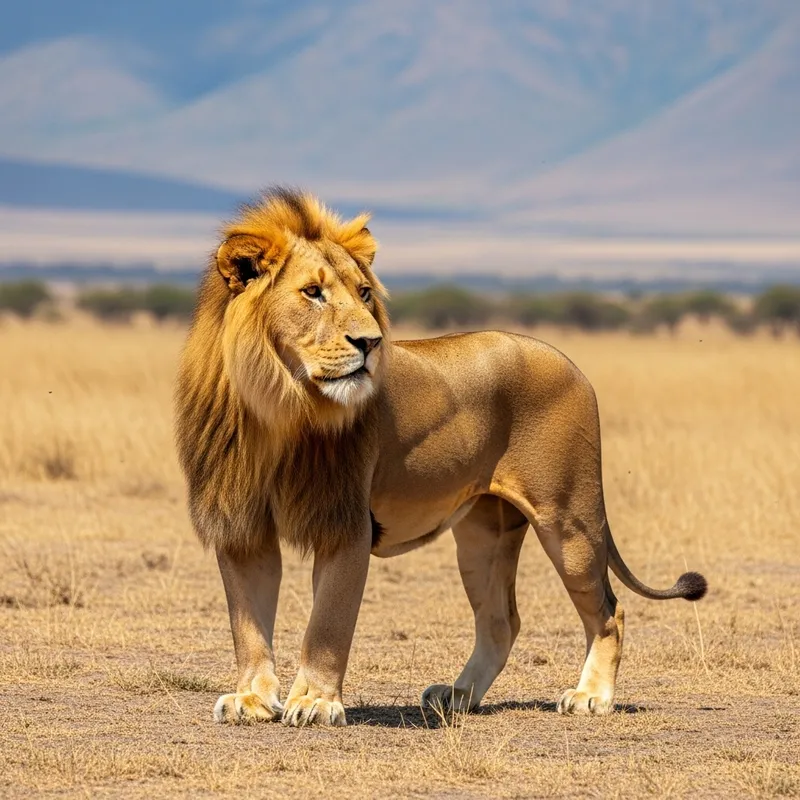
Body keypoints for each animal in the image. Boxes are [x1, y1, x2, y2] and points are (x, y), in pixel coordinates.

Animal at [175, 187, 707, 727]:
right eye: (313, 293)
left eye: (363, 293)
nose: (370, 342)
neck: (278, 407)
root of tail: (571, 362)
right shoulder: (241, 527)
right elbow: (248, 625)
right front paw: (252, 698)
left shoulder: (346, 523)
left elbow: (327, 624)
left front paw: (316, 702)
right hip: (483, 536)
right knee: (501, 620)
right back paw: (458, 696)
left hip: (569, 519)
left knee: (607, 610)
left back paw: (590, 696)